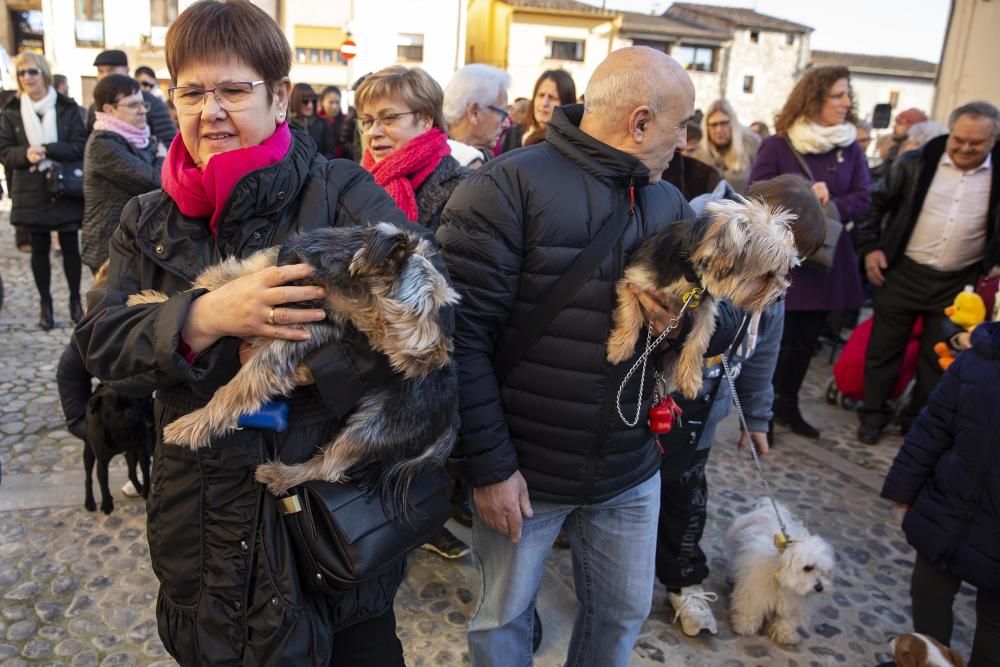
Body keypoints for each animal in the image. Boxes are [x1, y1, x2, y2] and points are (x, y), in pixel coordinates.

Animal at [84, 384, 154, 516]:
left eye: (134, 404)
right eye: (115, 410)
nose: (130, 411)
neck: (121, 433)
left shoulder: (142, 452)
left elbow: (146, 474)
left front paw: (147, 492)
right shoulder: (102, 462)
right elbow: (104, 485)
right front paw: (107, 504)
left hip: (131, 454)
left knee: (131, 472)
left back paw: (139, 488)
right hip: (88, 453)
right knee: (88, 478)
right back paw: (89, 501)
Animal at [728, 498, 836, 644]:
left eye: (824, 571)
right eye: (808, 567)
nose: (819, 587)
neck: (779, 577)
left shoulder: (794, 604)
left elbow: (787, 620)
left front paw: (785, 634)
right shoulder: (755, 592)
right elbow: (751, 607)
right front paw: (745, 625)